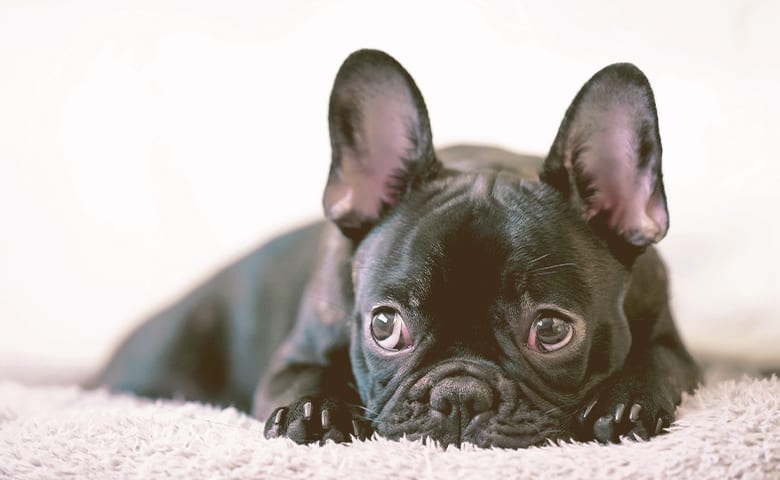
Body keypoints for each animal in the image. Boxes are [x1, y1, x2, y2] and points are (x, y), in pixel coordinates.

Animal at [96, 48, 700, 446]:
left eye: (551, 331)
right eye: (384, 326)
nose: (459, 396)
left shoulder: (675, 345)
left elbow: (658, 363)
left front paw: (625, 401)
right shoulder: (292, 359)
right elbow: (305, 377)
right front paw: (314, 411)